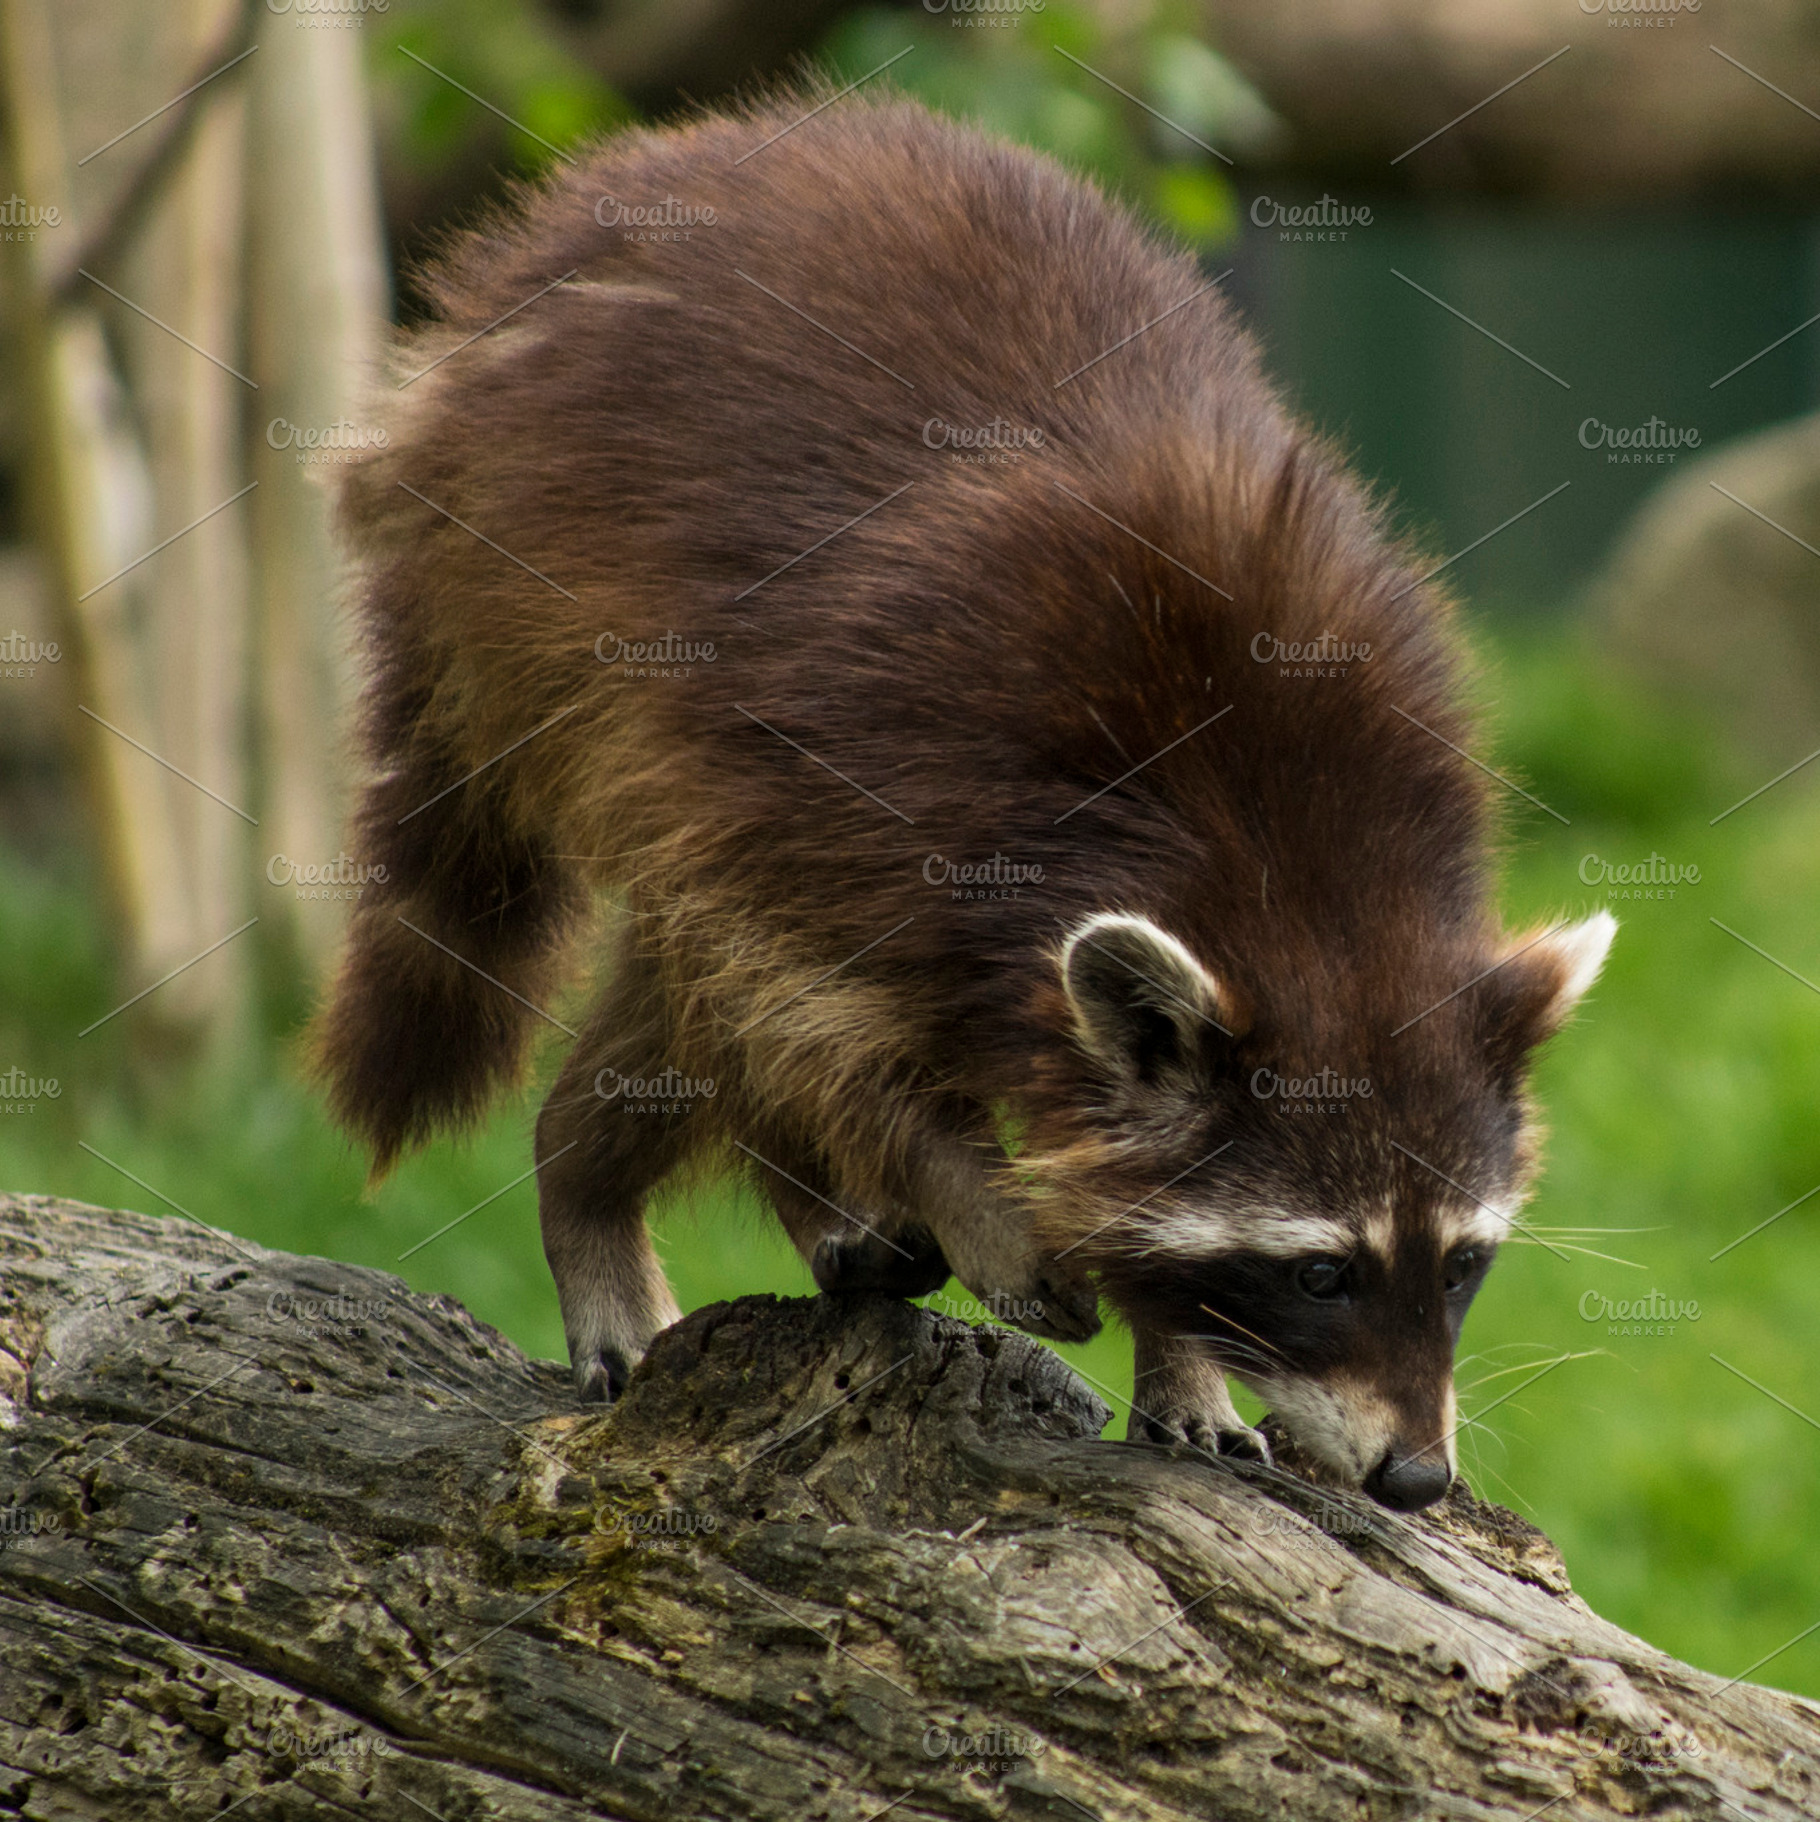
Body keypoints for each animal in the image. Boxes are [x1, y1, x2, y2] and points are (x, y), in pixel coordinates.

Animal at [311, 92, 1613, 1511]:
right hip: (549, 602)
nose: (1414, 1479)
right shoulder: (857, 765)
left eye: (1462, 1262)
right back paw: (603, 1182)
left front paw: (1180, 1354)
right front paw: (973, 1191)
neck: (1295, 874)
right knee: (716, 988)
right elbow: (810, 1014)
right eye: (1320, 1271)